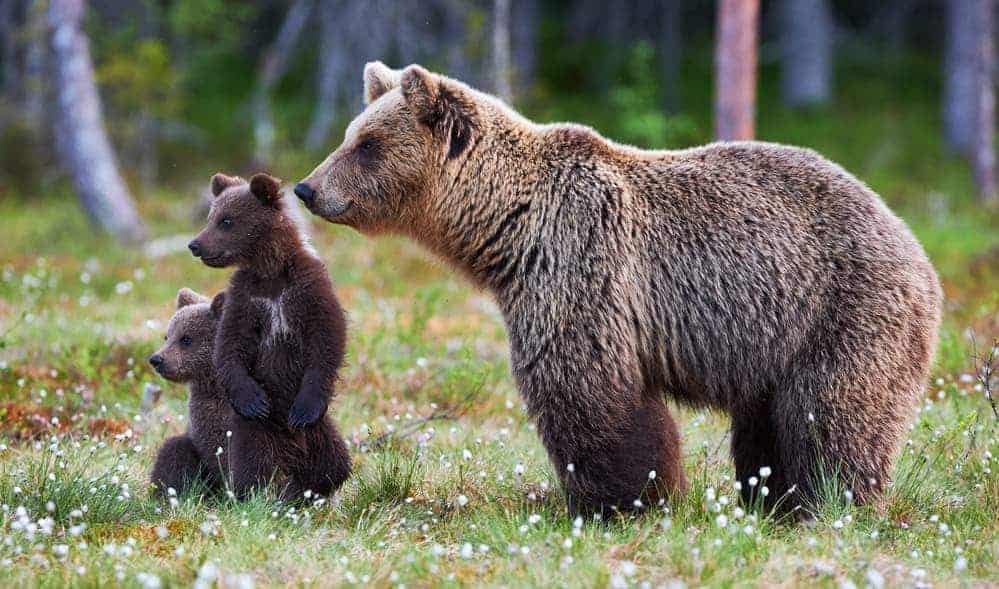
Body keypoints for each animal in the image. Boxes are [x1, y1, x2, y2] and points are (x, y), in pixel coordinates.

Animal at [188, 172, 351, 501]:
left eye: (226, 220)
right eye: (211, 216)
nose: (195, 244)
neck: (271, 271)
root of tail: (291, 444)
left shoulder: (308, 289)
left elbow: (327, 339)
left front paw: (304, 408)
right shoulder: (246, 299)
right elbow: (230, 345)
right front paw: (253, 400)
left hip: (320, 431)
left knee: (334, 464)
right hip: (257, 431)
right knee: (255, 464)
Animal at [293, 62, 943, 518]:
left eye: (367, 145)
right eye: (350, 135)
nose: (307, 188)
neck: (509, 231)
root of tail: (917, 247)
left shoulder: (580, 266)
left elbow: (586, 389)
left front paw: (620, 499)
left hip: (842, 310)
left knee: (830, 413)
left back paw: (830, 502)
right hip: (776, 343)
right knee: (769, 424)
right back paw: (774, 501)